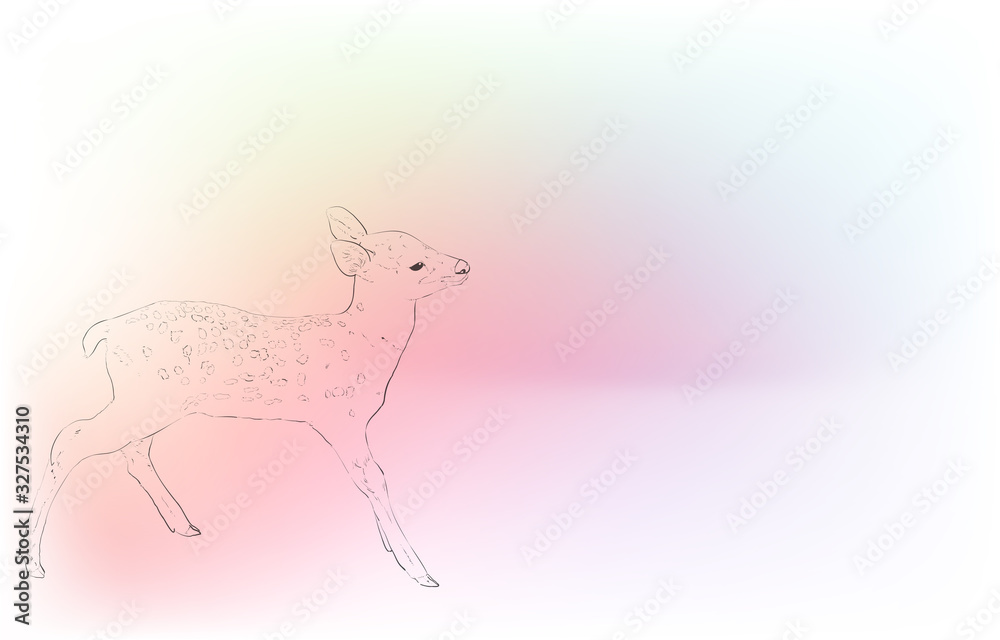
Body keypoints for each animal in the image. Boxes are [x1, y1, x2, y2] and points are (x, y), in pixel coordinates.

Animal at [28, 207, 470, 587]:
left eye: (427, 245)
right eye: (416, 265)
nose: (464, 266)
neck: (362, 340)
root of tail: (107, 330)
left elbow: (368, 479)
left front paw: (392, 549)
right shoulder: (339, 415)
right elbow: (374, 478)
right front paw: (418, 569)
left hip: (153, 400)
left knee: (134, 452)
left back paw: (183, 524)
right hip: (140, 396)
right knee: (71, 438)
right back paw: (36, 564)